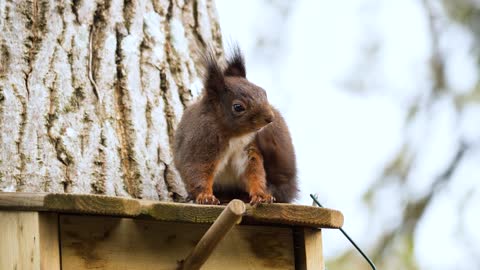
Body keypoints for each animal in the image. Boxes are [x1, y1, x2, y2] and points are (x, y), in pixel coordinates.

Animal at [172, 46, 296, 205]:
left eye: (263, 92)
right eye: (238, 107)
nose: (270, 118)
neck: (234, 135)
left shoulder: (249, 150)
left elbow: (254, 172)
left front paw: (260, 195)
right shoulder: (200, 144)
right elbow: (197, 171)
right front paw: (205, 196)